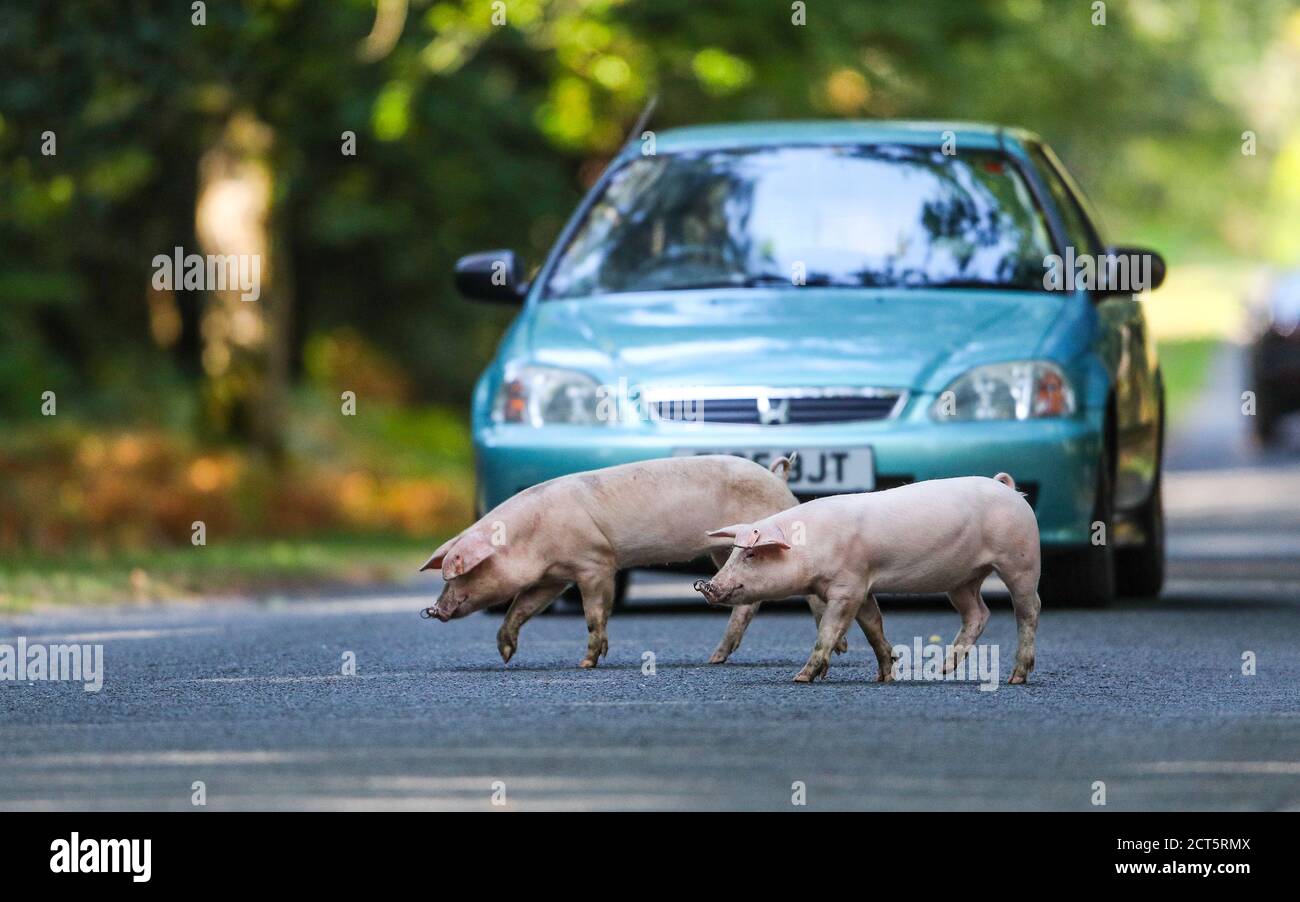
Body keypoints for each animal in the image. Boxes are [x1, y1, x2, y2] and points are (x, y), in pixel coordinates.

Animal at [418, 454, 842, 665]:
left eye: (456, 576)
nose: (433, 610)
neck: (531, 538)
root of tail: (779, 479)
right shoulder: (553, 577)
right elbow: (522, 607)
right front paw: (506, 654)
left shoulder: (595, 561)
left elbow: (595, 613)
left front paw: (587, 663)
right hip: (727, 550)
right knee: (749, 603)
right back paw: (715, 659)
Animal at [696, 473, 1040, 686]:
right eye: (734, 553)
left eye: (751, 555)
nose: (707, 586)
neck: (811, 546)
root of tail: (1006, 487)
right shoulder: (862, 588)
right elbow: (874, 627)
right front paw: (885, 676)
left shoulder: (848, 586)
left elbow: (829, 630)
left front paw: (801, 678)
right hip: (962, 579)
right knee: (978, 614)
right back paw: (943, 669)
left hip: (1020, 560)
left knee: (1029, 609)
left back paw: (1016, 677)